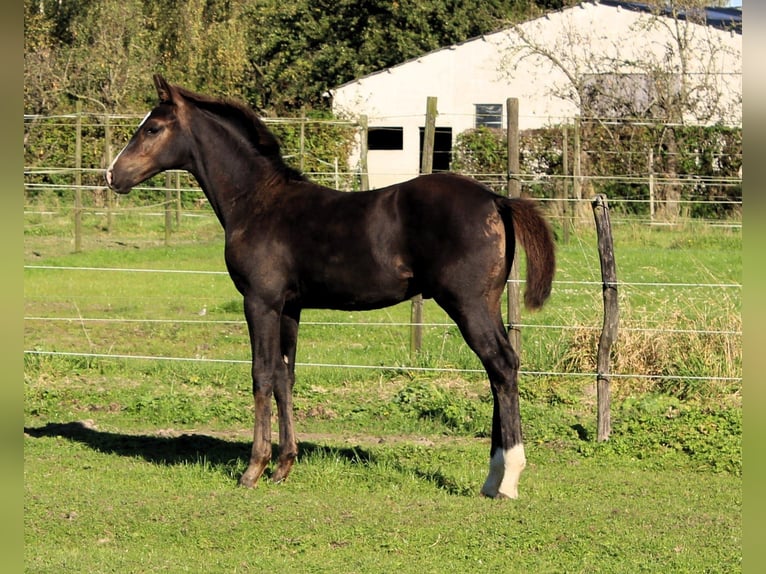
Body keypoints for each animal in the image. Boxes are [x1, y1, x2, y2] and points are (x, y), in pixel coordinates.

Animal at [105, 76, 556, 500]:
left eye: (153, 128)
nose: (112, 175)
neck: (256, 201)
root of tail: (496, 199)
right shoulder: (289, 308)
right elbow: (285, 376)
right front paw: (283, 466)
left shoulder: (260, 302)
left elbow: (261, 374)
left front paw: (253, 469)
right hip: (486, 304)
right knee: (498, 370)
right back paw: (491, 478)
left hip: (467, 304)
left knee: (501, 365)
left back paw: (507, 479)